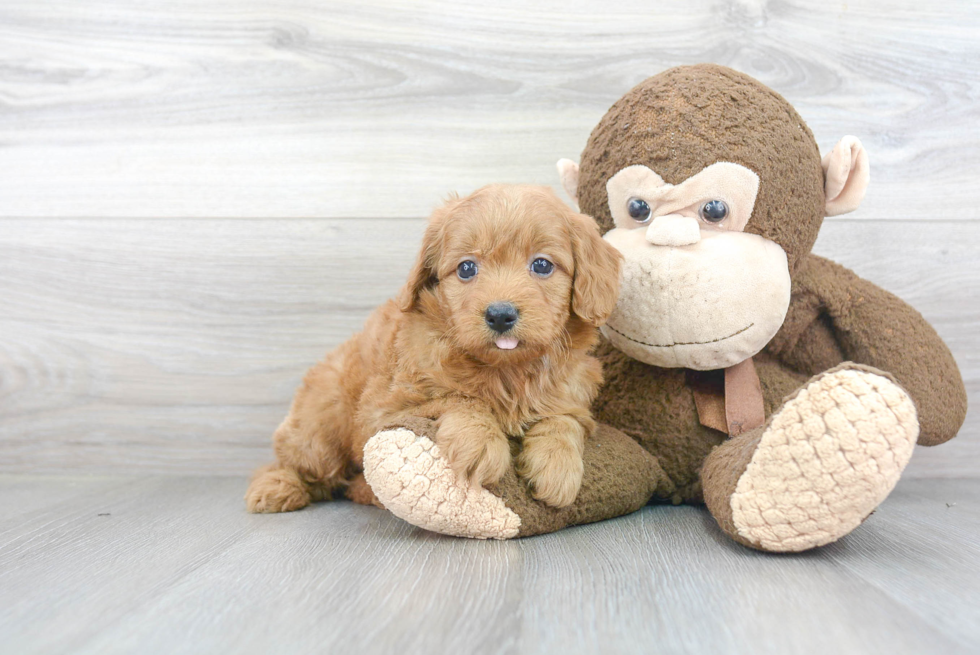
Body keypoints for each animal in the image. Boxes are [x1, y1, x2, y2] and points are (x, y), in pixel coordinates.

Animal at [244, 184, 620, 512]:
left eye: (542, 264)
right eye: (467, 268)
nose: (500, 315)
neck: (506, 370)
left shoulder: (573, 394)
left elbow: (563, 420)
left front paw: (557, 465)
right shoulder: (384, 409)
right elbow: (456, 397)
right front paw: (480, 441)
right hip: (320, 429)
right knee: (297, 466)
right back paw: (276, 488)